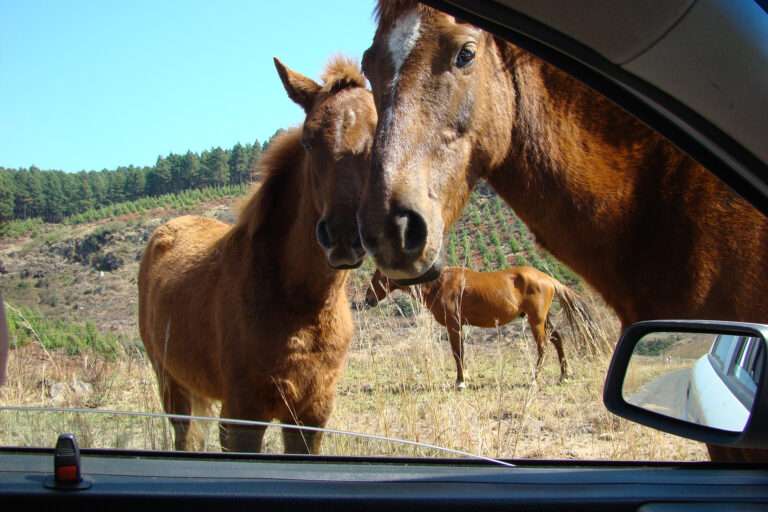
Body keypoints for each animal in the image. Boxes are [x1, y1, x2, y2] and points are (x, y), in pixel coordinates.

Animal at [138, 56, 376, 454]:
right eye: (309, 141)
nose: (343, 236)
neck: (300, 302)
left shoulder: (312, 413)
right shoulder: (243, 413)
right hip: (169, 380)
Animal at [365, 266, 600, 387]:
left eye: (377, 276)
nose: (367, 299)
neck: (441, 284)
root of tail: (548, 279)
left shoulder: (453, 324)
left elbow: (457, 353)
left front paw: (460, 382)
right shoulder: (459, 326)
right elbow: (460, 352)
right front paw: (463, 378)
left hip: (536, 320)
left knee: (543, 346)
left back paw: (535, 378)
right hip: (543, 319)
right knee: (557, 338)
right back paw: (564, 375)